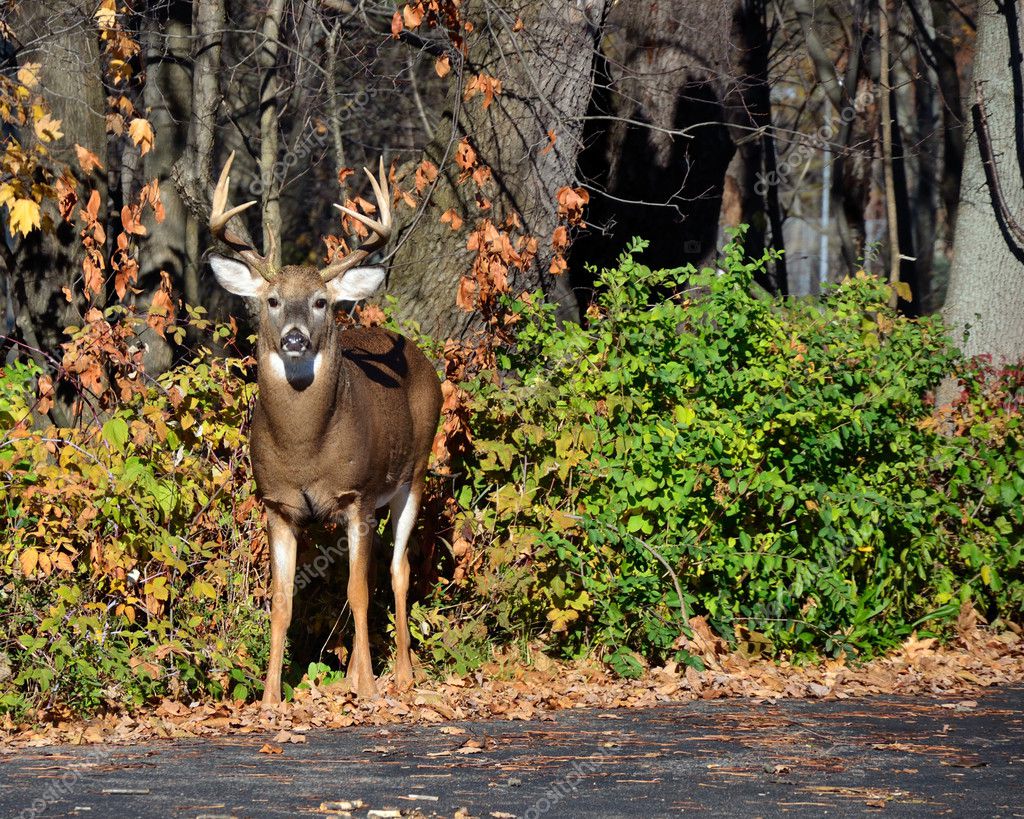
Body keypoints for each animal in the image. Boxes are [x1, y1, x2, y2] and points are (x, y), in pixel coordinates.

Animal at [207, 151, 444, 704]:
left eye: (319, 301)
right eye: (272, 300)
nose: (294, 337)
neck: (304, 447)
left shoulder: (357, 496)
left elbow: (358, 593)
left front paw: (372, 690)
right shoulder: (277, 504)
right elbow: (281, 602)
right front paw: (270, 698)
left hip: (415, 473)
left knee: (397, 572)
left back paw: (402, 675)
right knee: (371, 575)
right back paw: (360, 673)